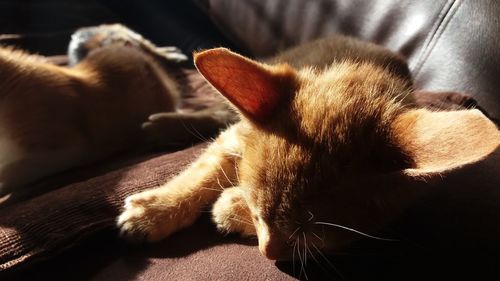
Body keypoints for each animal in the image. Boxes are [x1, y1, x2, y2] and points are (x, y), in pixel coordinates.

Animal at [118, 36, 500, 260]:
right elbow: (200, 173)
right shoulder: (234, 137)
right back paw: (160, 125)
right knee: (218, 112)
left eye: (312, 236)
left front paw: (231, 206)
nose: (268, 255)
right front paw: (156, 211)